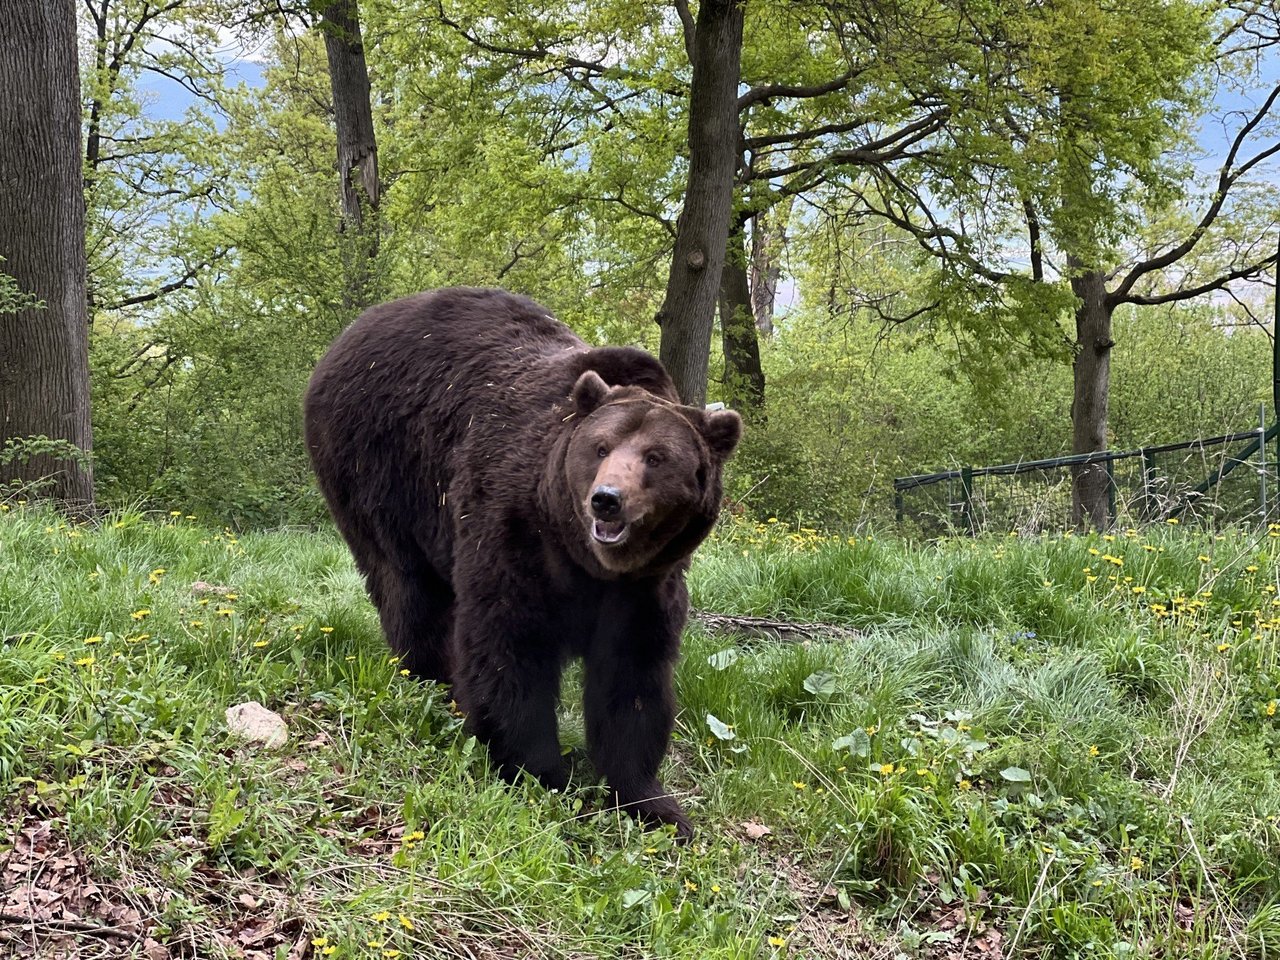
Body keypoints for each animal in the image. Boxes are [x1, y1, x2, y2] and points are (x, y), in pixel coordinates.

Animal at [303, 288, 742, 839]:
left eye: (656, 457)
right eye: (600, 447)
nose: (607, 500)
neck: (589, 563)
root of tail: (346, 339)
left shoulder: (646, 586)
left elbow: (633, 678)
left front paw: (653, 803)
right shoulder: (512, 531)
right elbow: (508, 647)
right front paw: (541, 770)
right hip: (378, 470)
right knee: (406, 585)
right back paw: (432, 675)